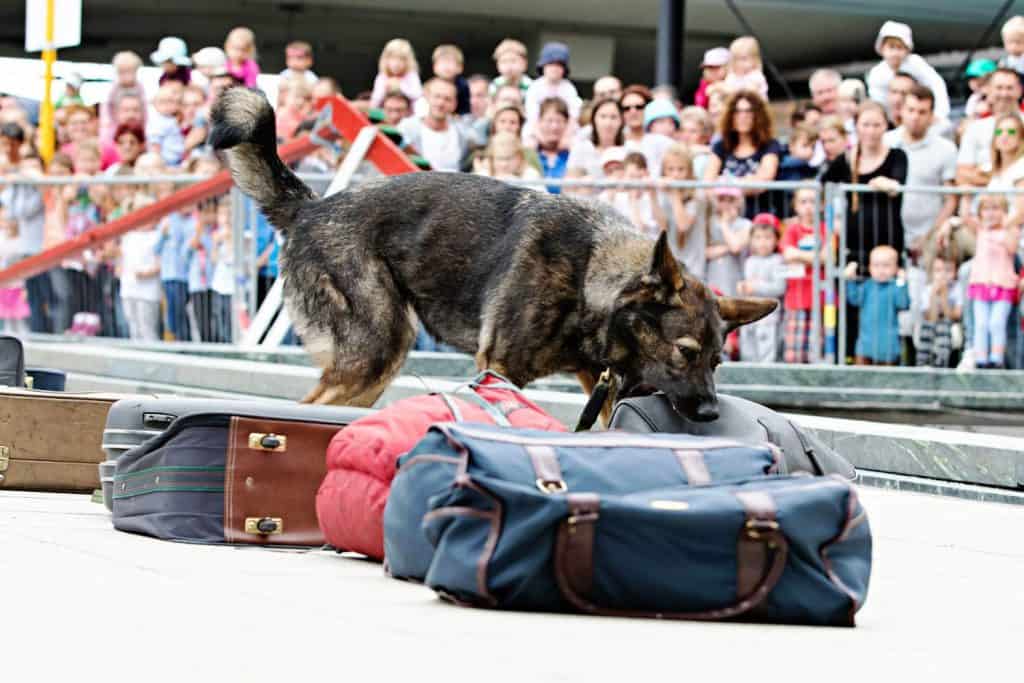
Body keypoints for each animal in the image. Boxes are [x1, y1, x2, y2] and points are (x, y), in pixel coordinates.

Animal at [209, 89, 774, 421]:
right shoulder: (499, 368)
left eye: (718, 361)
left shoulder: (603, 384)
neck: (591, 277)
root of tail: (311, 208)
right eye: (685, 352)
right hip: (377, 349)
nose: (710, 413)